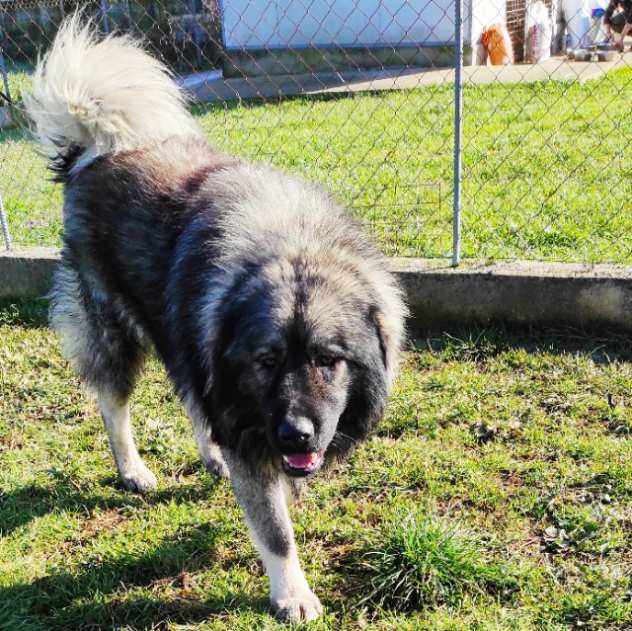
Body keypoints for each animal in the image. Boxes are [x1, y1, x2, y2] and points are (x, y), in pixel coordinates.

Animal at [25, 18, 404, 624]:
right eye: (267, 360)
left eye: (329, 360)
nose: (295, 433)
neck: (291, 244)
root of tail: (95, 151)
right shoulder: (250, 425)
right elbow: (275, 530)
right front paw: (292, 593)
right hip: (115, 329)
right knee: (114, 403)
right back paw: (133, 469)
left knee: (190, 399)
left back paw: (209, 455)